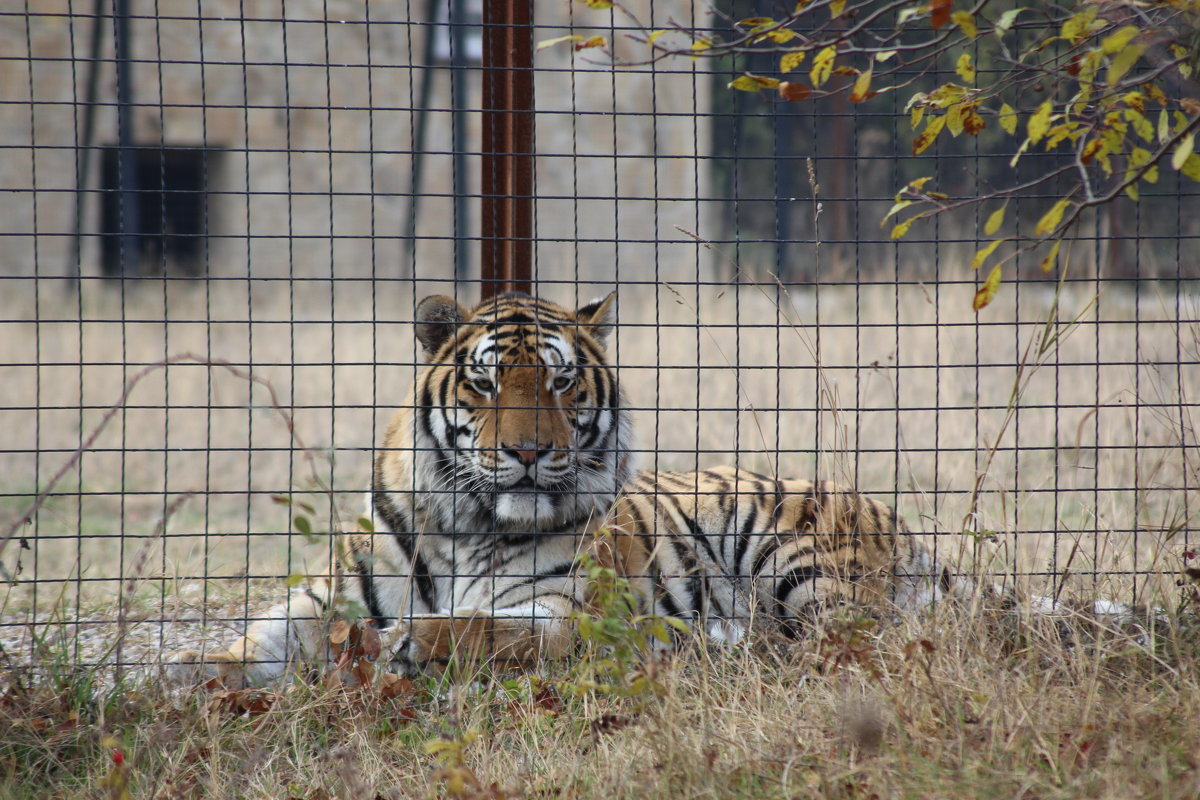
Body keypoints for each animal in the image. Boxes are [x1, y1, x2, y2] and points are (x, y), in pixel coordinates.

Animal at [166, 291, 1132, 686]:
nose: (527, 453)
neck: (472, 521)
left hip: (790, 550)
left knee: (846, 645)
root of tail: (905, 532)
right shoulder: (326, 594)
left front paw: (417, 643)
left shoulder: (570, 613)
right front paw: (189, 674)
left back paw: (711, 647)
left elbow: (484, 627)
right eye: (488, 383)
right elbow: (256, 637)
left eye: (560, 384)